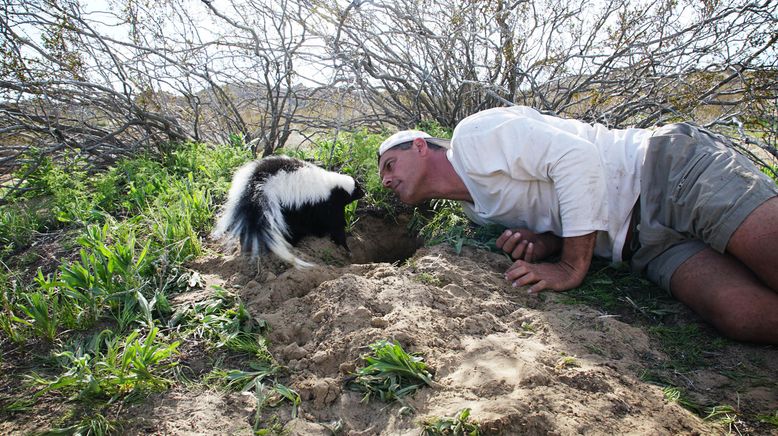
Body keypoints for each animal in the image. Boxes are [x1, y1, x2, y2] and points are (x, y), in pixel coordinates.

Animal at [212, 155, 364, 268]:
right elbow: (335, 226)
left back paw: (248, 247)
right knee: (290, 229)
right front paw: (345, 247)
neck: (334, 187)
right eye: (358, 188)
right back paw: (291, 244)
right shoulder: (325, 205)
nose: (364, 193)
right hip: (286, 209)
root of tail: (259, 184)